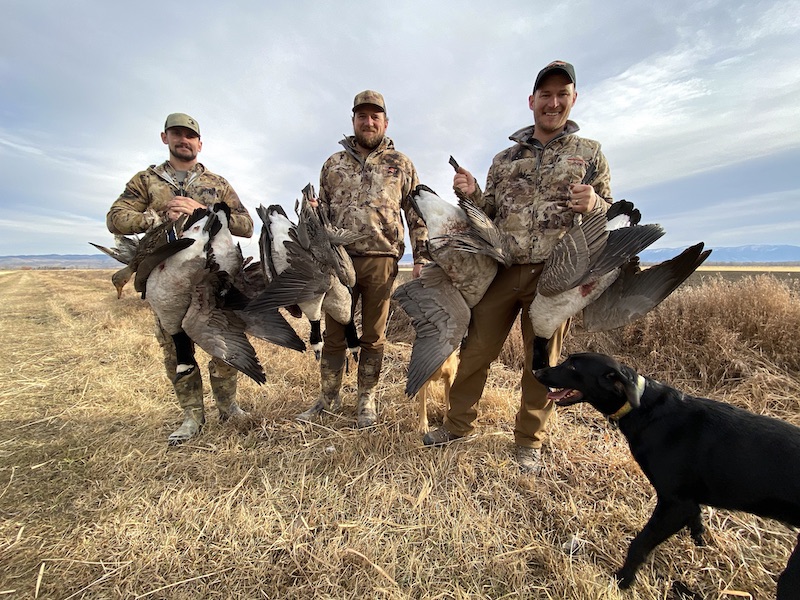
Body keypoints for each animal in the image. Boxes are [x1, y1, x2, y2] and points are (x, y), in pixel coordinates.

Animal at [532, 352, 800, 596]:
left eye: (573, 366)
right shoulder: (686, 503)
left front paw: (622, 581)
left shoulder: (674, 504)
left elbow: (639, 544)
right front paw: (699, 539)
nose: (536, 371)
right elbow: (696, 516)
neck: (644, 408)